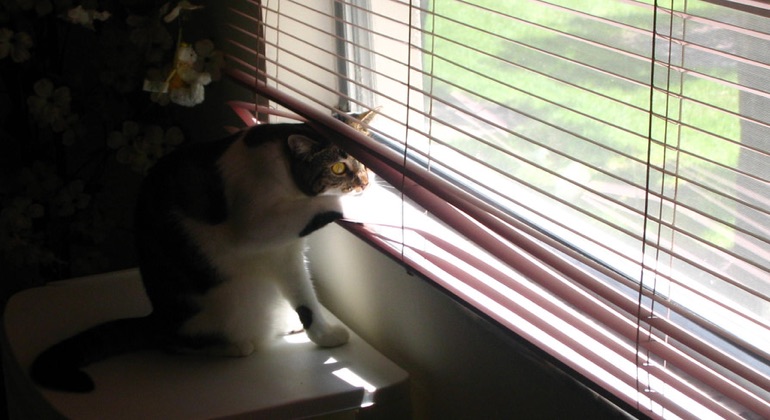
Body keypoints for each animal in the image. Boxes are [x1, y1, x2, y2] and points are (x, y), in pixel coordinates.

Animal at [30, 110, 376, 392]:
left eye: (364, 164)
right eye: (338, 167)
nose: (364, 183)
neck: (283, 165)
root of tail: (157, 317)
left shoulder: (286, 253)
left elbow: (304, 296)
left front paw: (321, 333)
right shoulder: (255, 225)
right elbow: (319, 209)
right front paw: (363, 208)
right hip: (212, 311)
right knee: (174, 342)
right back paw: (232, 346)